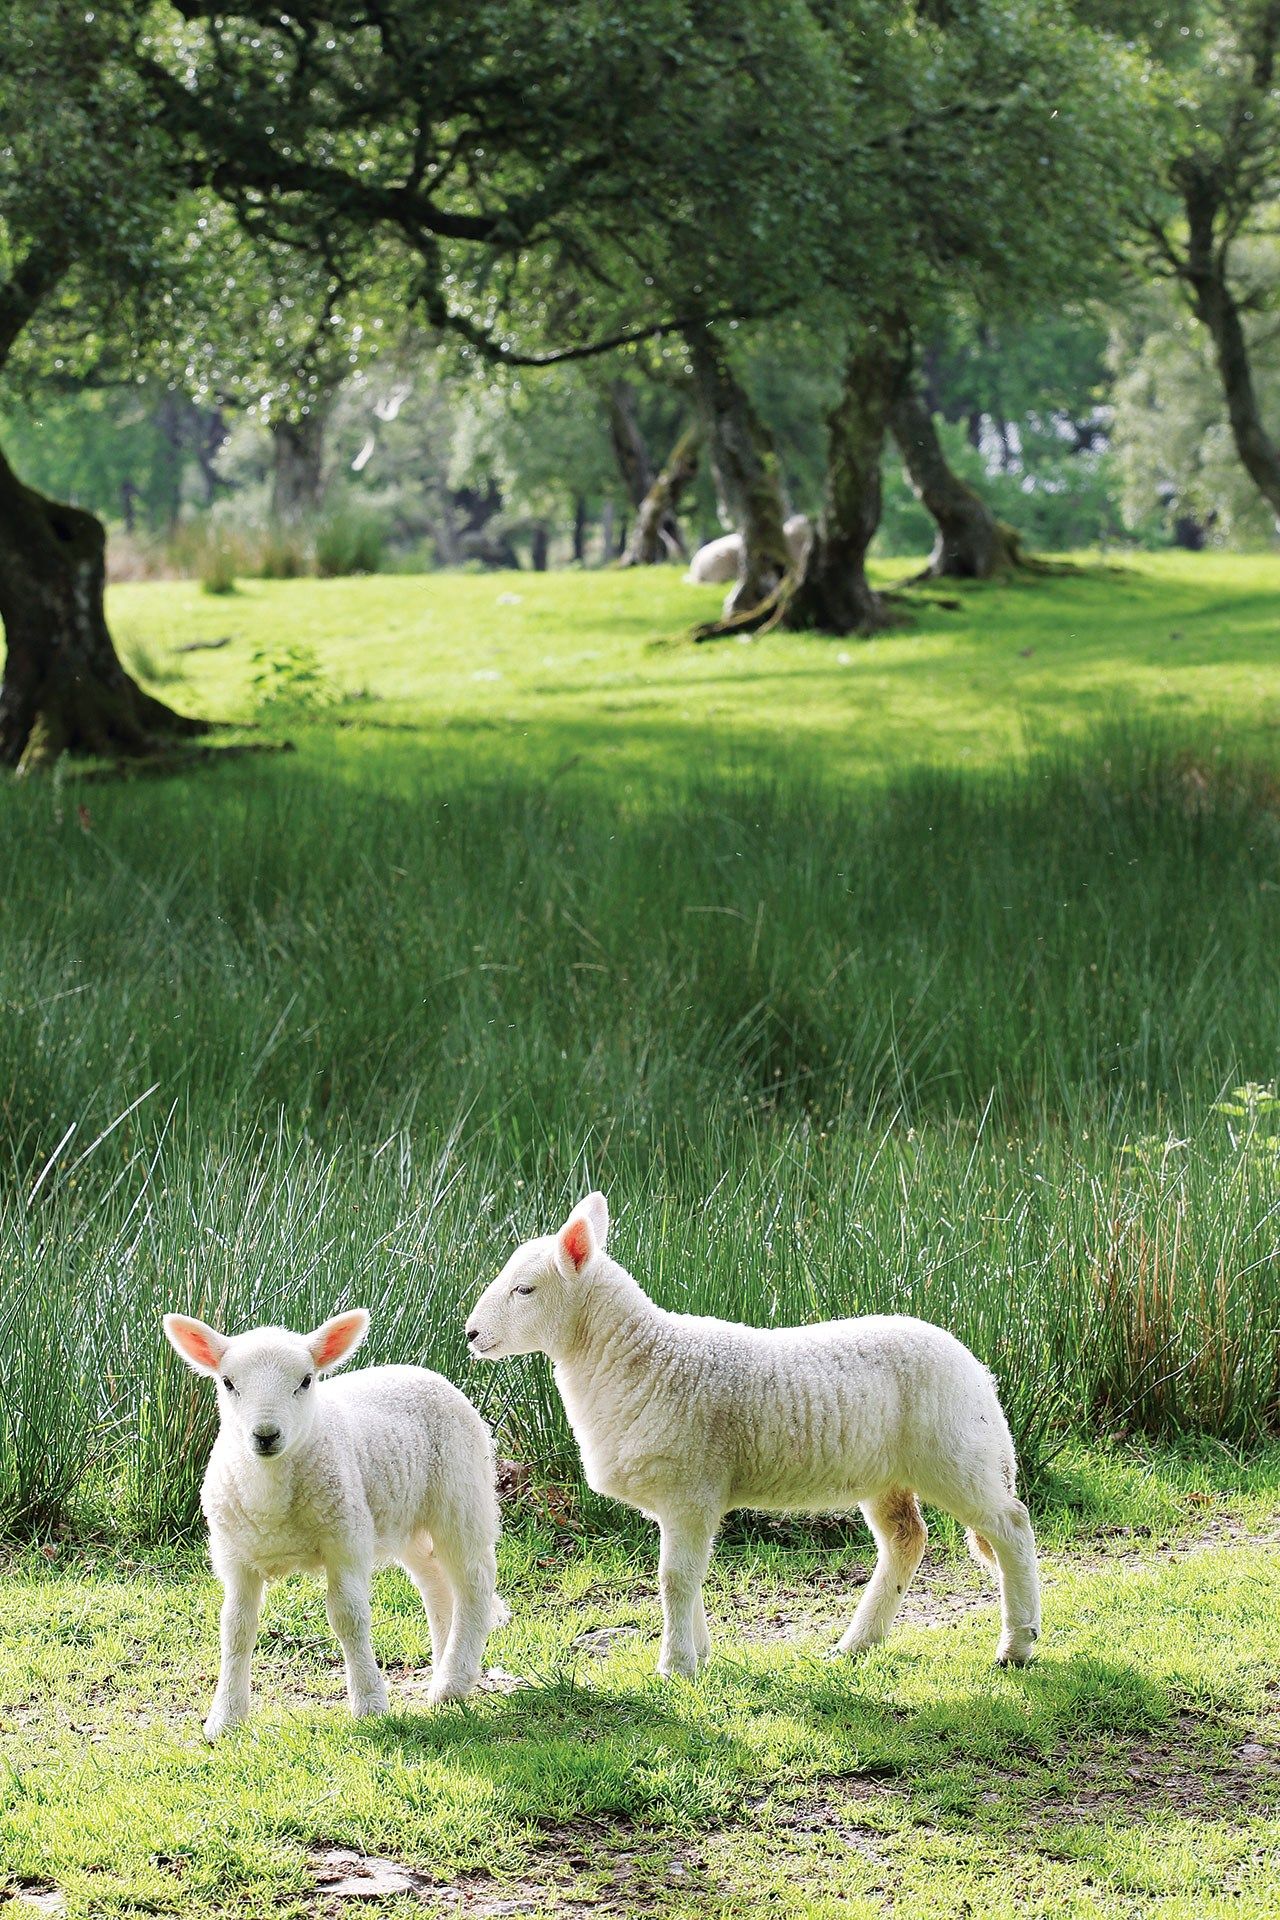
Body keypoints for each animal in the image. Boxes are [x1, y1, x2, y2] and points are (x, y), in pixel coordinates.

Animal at [163, 1308, 501, 1738]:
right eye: (228, 1382)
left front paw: (370, 1703)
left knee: (474, 1582)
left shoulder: (346, 1539)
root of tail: (425, 1372)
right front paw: (225, 1719)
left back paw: (453, 1682)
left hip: (462, 1496)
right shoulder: (234, 1557)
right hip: (406, 1518)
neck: (271, 1499)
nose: (265, 1435)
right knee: (438, 1587)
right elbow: (236, 1629)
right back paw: (444, 1672)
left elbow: (348, 1618)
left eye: (306, 1380)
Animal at [465, 1193, 1040, 1680]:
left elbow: (675, 1579)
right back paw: (856, 1644)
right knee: (906, 1539)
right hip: (887, 1473)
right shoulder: (681, 1500)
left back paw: (1017, 1643)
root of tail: (978, 1371)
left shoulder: (691, 1489)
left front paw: (674, 1667)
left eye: (524, 1289)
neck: (639, 1357)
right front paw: (699, 1657)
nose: (469, 1334)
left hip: (954, 1454)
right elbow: (688, 1578)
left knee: (1010, 1525)